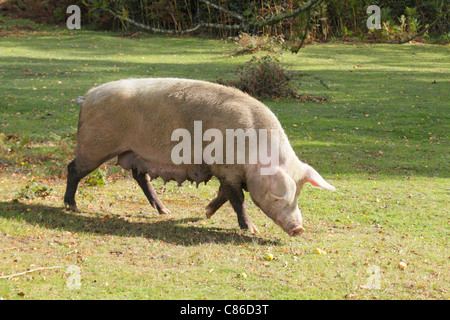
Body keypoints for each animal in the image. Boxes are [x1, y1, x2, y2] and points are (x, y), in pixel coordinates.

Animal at [65, 78, 336, 236]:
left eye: (298, 195)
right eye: (278, 195)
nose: (299, 228)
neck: (254, 152)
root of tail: (89, 95)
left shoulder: (227, 172)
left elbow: (224, 196)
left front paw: (205, 213)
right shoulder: (227, 169)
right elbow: (237, 199)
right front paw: (252, 230)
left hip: (134, 153)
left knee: (141, 179)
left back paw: (165, 212)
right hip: (94, 145)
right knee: (73, 169)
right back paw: (72, 207)